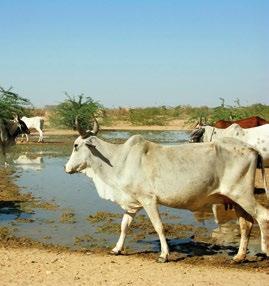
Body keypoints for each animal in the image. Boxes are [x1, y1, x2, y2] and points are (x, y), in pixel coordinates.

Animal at [64, 119, 268, 264]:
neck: (118, 160)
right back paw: (239, 257)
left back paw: (264, 252)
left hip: (242, 195)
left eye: (75, 145)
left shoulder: (148, 200)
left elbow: (159, 226)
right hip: (234, 199)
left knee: (262, 216)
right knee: (246, 224)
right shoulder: (133, 203)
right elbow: (124, 226)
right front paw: (117, 249)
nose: (66, 168)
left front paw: (164, 255)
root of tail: (251, 148)